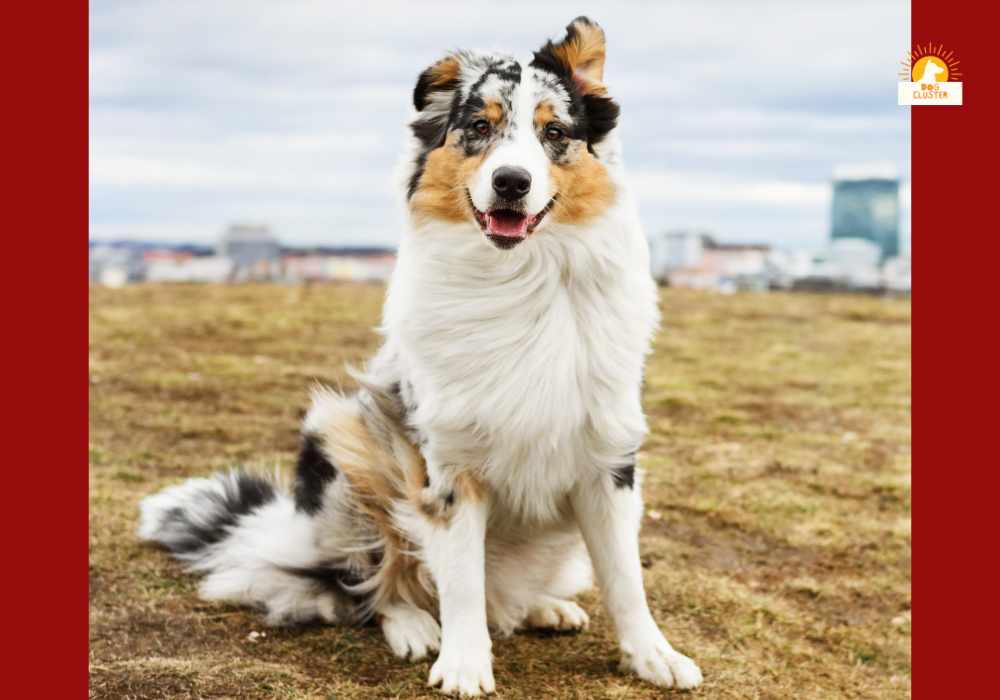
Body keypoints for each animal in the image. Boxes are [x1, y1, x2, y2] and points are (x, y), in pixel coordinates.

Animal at [139, 15, 704, 696]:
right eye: (479, 127)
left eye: (554, 133)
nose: (511, 182)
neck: (524, 280)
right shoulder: (446, 466)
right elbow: (459, 581)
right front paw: (463, 665)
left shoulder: (609, 459)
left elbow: (625, 577)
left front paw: (653, 655)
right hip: (344, 442)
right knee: (366, 582)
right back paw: (410, 623)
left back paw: (544, 607)